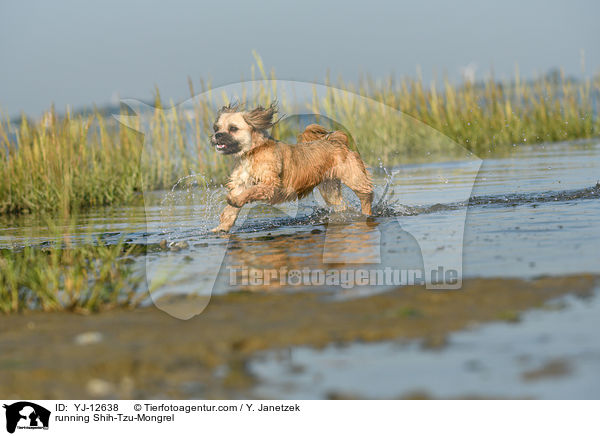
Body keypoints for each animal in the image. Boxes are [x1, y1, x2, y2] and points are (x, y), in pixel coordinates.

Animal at [210, 103, 370, 232]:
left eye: (233, 128)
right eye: (216, 128)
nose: (217, 135)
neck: (251, 153)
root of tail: (336, 141)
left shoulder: (269, 185)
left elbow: (250, 192)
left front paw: (234, 200)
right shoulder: (241, 183)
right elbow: (231, 209)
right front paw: (222, 227)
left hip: (354, 178)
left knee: (366, 195)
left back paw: (366, 213)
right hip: (330, 188)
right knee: (339, 204)